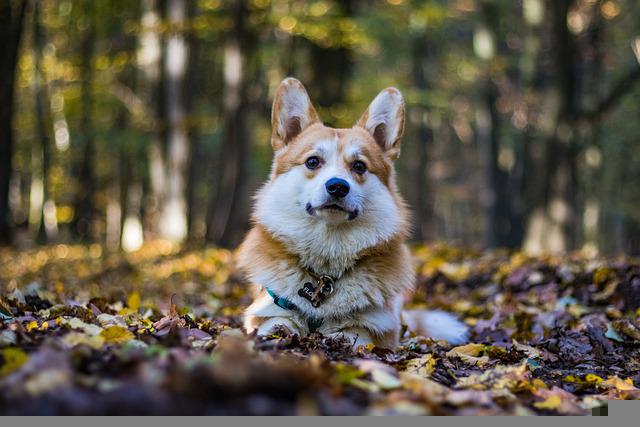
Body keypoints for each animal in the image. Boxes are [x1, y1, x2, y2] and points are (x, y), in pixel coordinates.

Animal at [238, 78, 468, 350]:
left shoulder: (379, 327)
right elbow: (274, 324)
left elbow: (354, 335)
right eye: (313, 161)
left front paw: (337, 339)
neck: (325, 269)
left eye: (359, 166)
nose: (338, 186)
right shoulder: (267, 310)